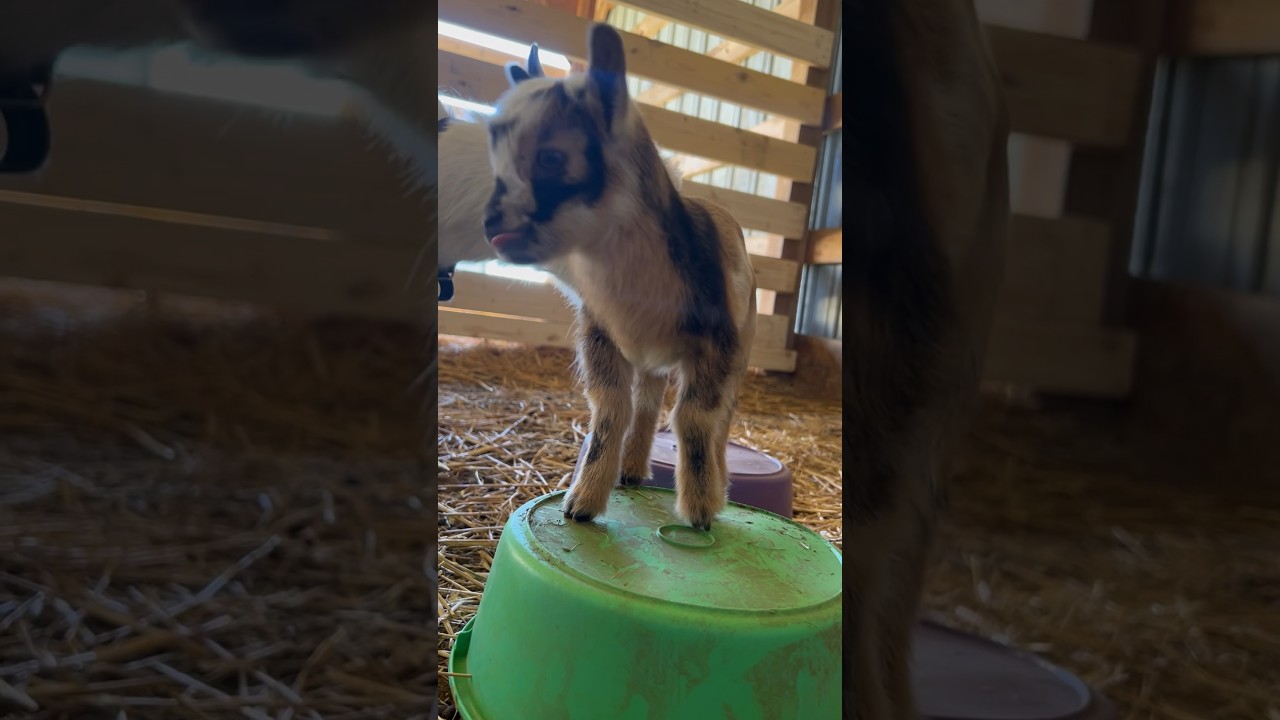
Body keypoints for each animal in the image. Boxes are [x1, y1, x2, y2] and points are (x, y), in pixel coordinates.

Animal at [481, 23, 756, 531]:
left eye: (552, 157)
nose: (491, 225)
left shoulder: (715, 346)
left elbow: (694, 418)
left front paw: (700, 512)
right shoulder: (602, 337)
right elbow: (612, 411)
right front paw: (582, 504)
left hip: (741, 349)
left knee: (721, 419)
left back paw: (718, 482)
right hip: (652, 359)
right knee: (646, 403)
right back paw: (630, 471)